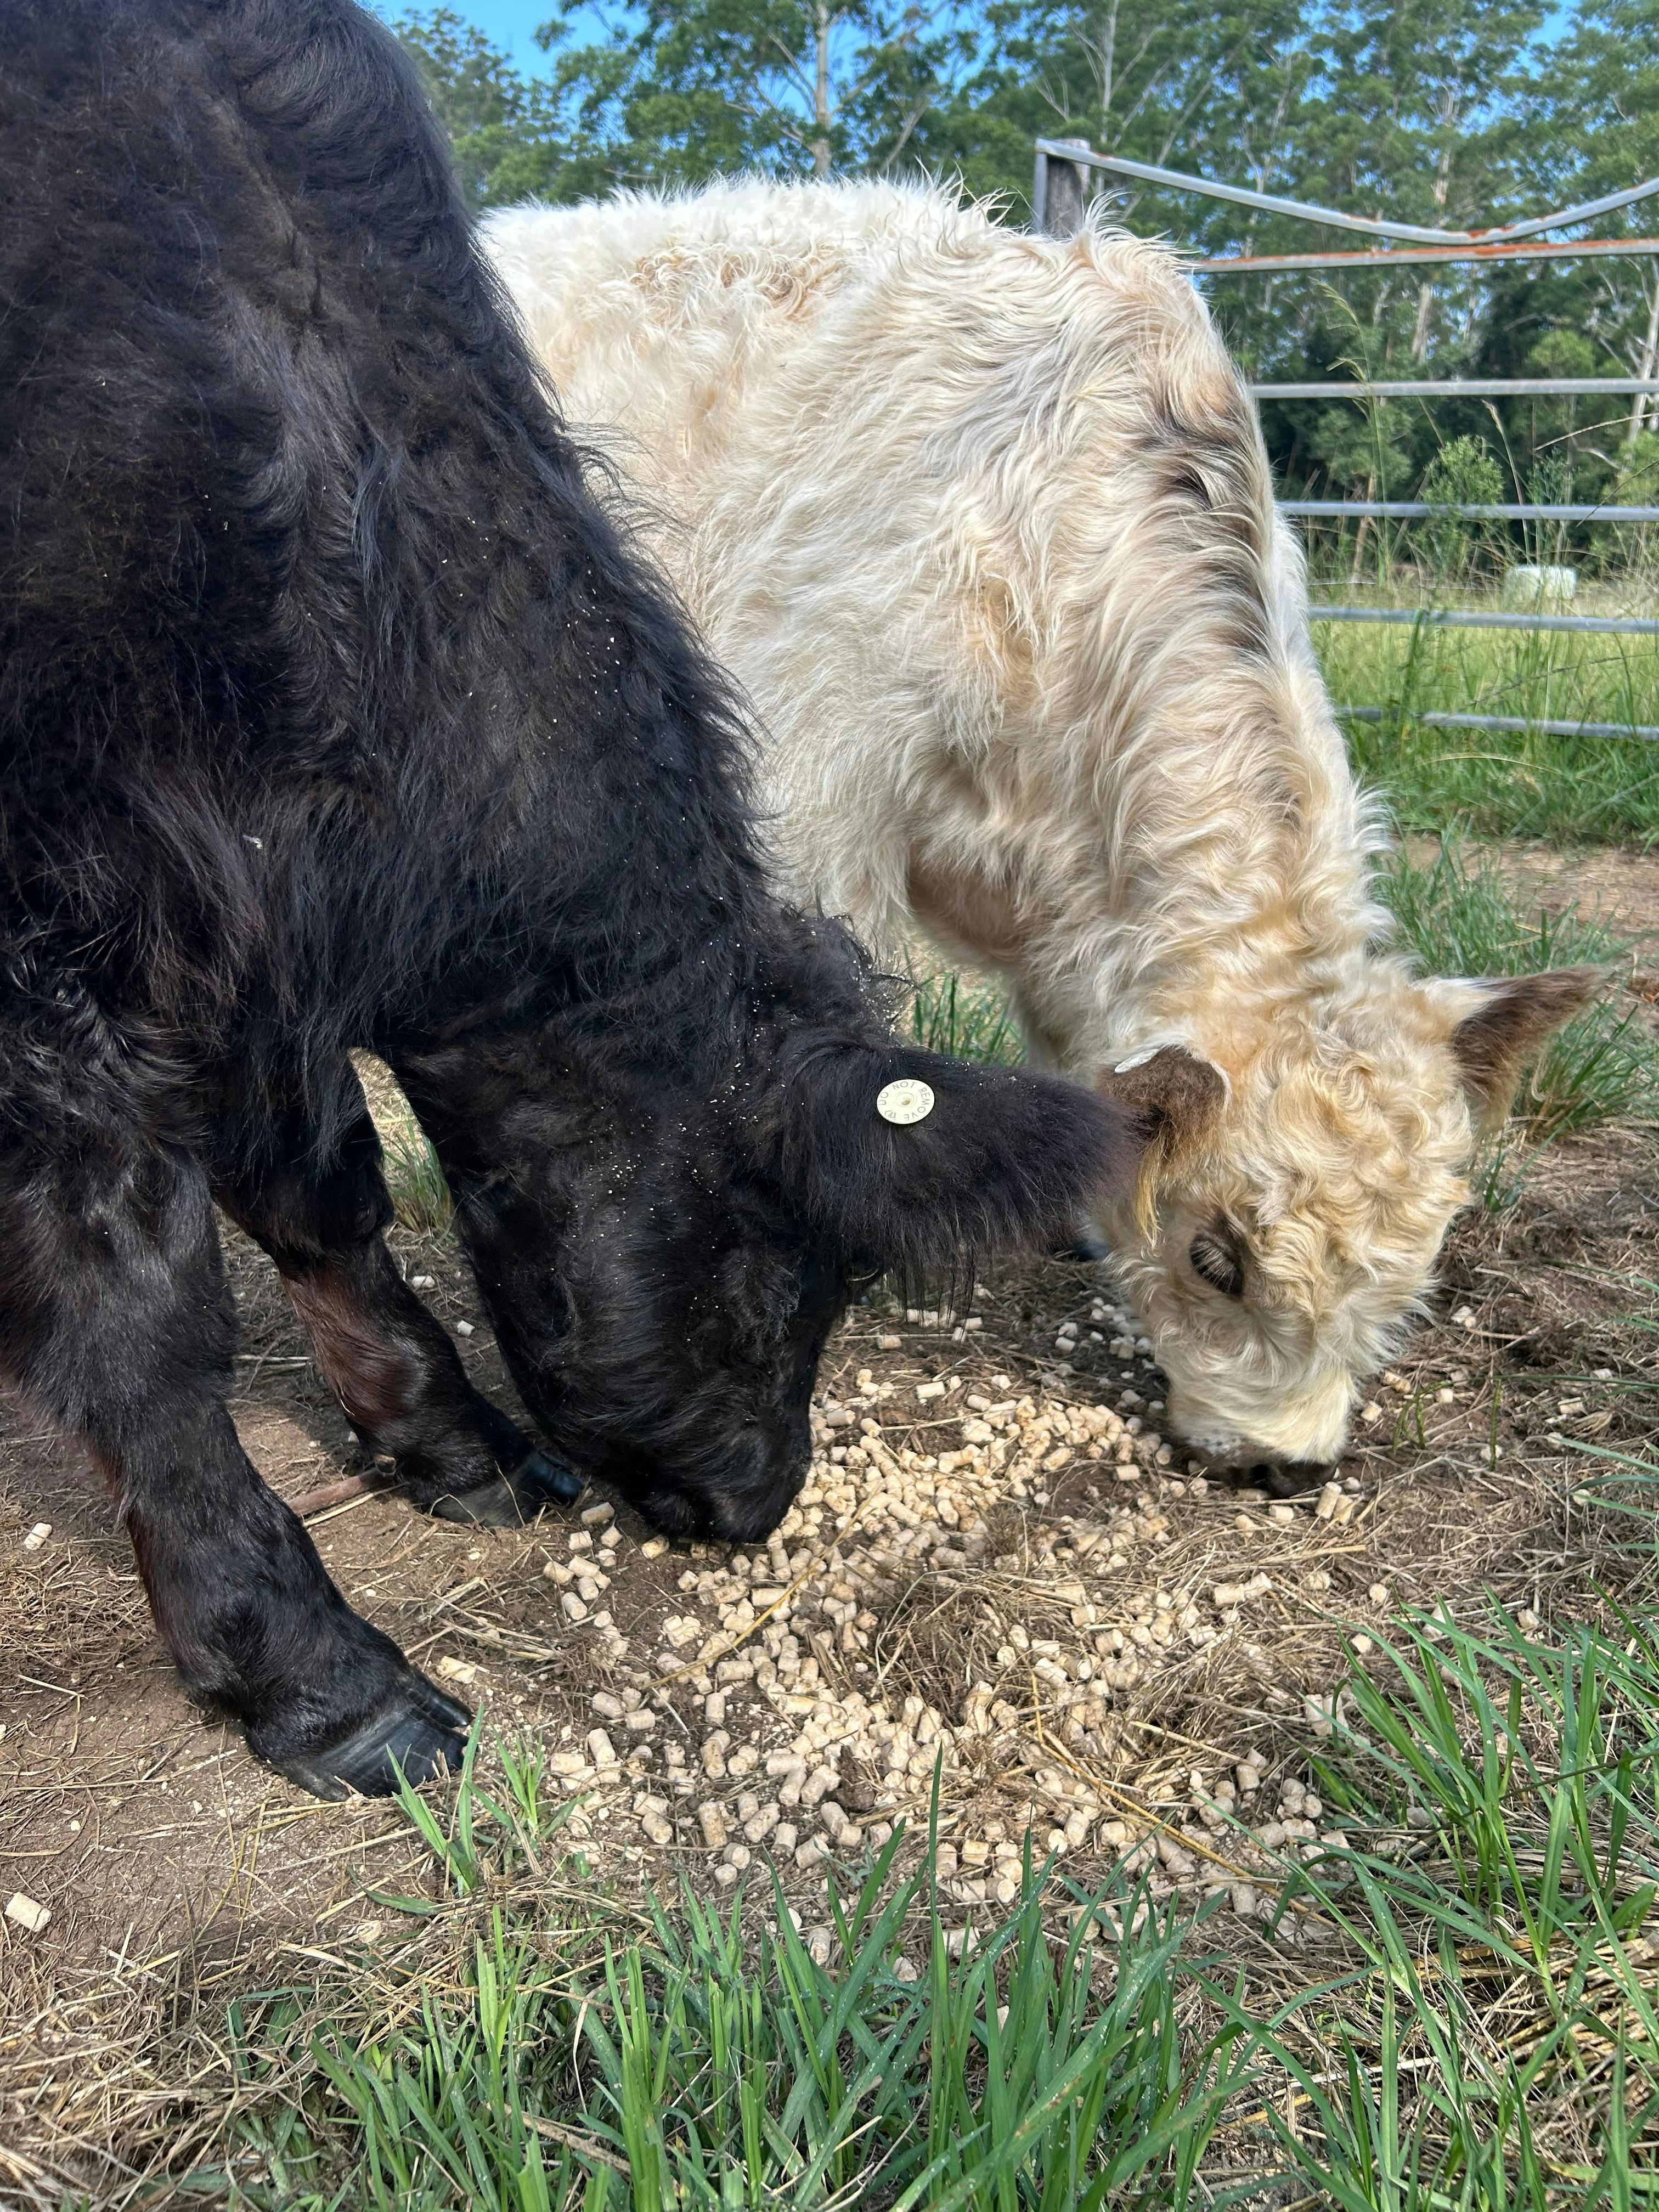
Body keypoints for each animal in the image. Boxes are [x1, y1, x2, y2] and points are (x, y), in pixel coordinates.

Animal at [0, 11, 1141, 1801]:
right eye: (778, 1249)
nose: (753, 1503)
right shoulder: (69, 950)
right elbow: (144, 1316)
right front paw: (307, 1660)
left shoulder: (248, 936)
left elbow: (324, 1184)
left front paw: (450, 1434)